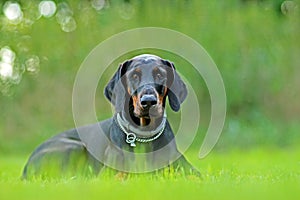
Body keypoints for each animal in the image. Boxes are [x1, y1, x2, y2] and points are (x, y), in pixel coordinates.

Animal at [22, 54, 198, 179]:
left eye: (160, 75)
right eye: (134, 76)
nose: (148, 101)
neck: (144, 137)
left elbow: (192, 176)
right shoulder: (111, 172)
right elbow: (121, 174)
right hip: (73, 147)